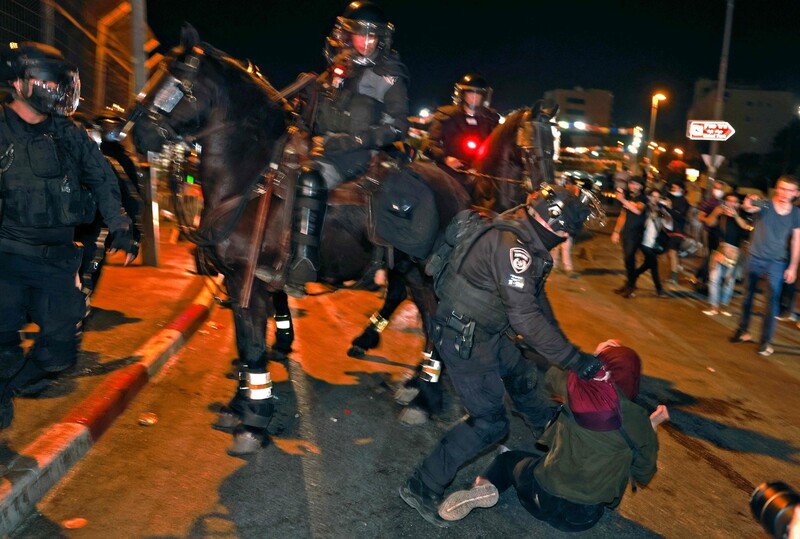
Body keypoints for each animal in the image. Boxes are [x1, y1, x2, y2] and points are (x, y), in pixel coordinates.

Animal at [130, 26, 468, 456]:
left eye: (176, 82)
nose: (135, 134)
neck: (250, 181)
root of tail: (455, 186)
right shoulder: (238, 282)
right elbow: (244, 342)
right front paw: (241, 405)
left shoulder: (251, 281)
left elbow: (253, 346)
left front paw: (254, 421)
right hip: (410, 271)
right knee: (419, 313)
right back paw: (415, 383)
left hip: (425, 275)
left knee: (433, 322)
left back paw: (425, 398)